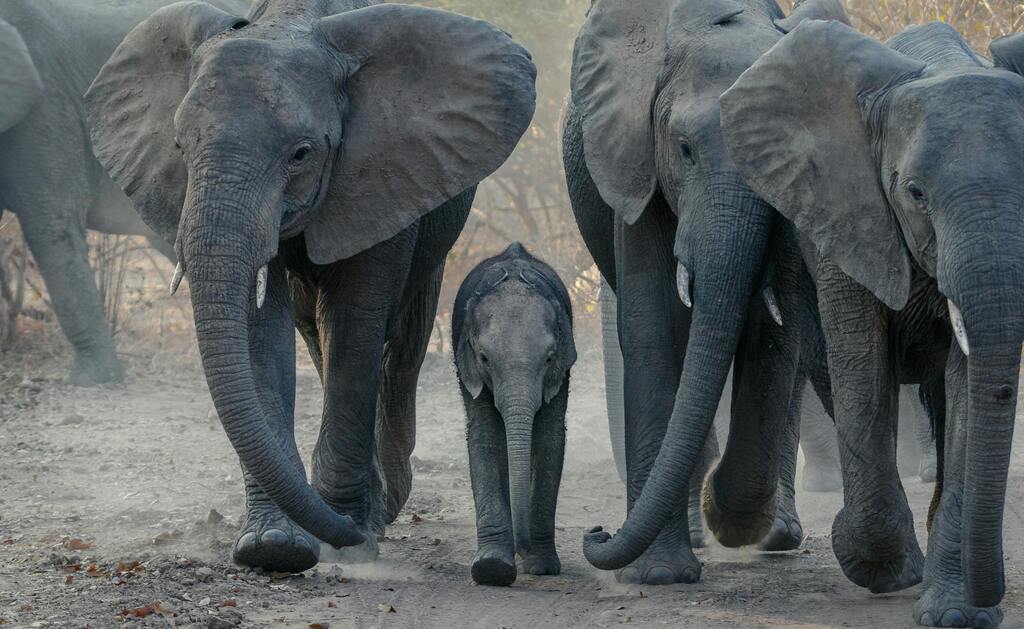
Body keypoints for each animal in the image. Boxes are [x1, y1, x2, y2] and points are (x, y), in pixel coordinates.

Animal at [85, 0, 536, 572]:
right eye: (180, 148)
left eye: (300, 154)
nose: (346, 532)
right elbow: (261, 332)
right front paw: (273, 546)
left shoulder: (382, 174)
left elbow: (355, 324)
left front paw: (349, 538)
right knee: (316, 334)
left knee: (400, 348)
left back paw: (382, 508)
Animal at [453, 243, 575, 586]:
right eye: (483, 358)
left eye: (549, 359)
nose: (524, 547)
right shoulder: (469, 369)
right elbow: (484, 437)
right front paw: (492, 569)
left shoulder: (562, 370)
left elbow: (549, 438)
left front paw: (542, 567)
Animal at [563, 0, 847, 584]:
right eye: (685, 150)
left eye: (772, 156)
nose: (595, 532)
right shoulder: (637, 163)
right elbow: (652, 325)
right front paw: (659, 575)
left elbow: (773, 333)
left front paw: (730, 515)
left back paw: (773, 534)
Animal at [721, 19, 1024, 627]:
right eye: (915, 193)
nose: (991, 593)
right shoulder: (845, 215)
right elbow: (862, 364)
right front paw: (881, 569)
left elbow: (966, 388)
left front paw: (956, 614)